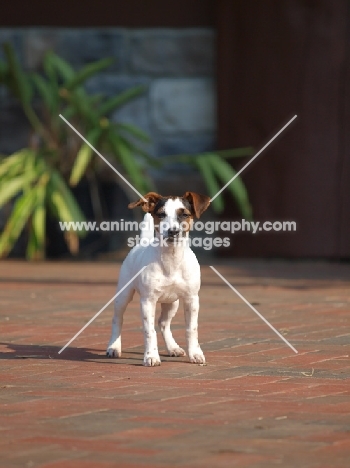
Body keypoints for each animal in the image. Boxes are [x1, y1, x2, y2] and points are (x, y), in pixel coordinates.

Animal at [106, 190, 209, 366]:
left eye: (184, 214)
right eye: (161, 214)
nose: (173, 231)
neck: (171, 260)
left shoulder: (191, 299)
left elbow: (191, 329)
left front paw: (195, 353)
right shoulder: (148, 301)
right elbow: (149, 331)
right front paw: (151, 356)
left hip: (172, 303)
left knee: (163, 323)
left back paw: (173, 347)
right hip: (123, 296)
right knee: (117, 319)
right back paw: (114, 347)